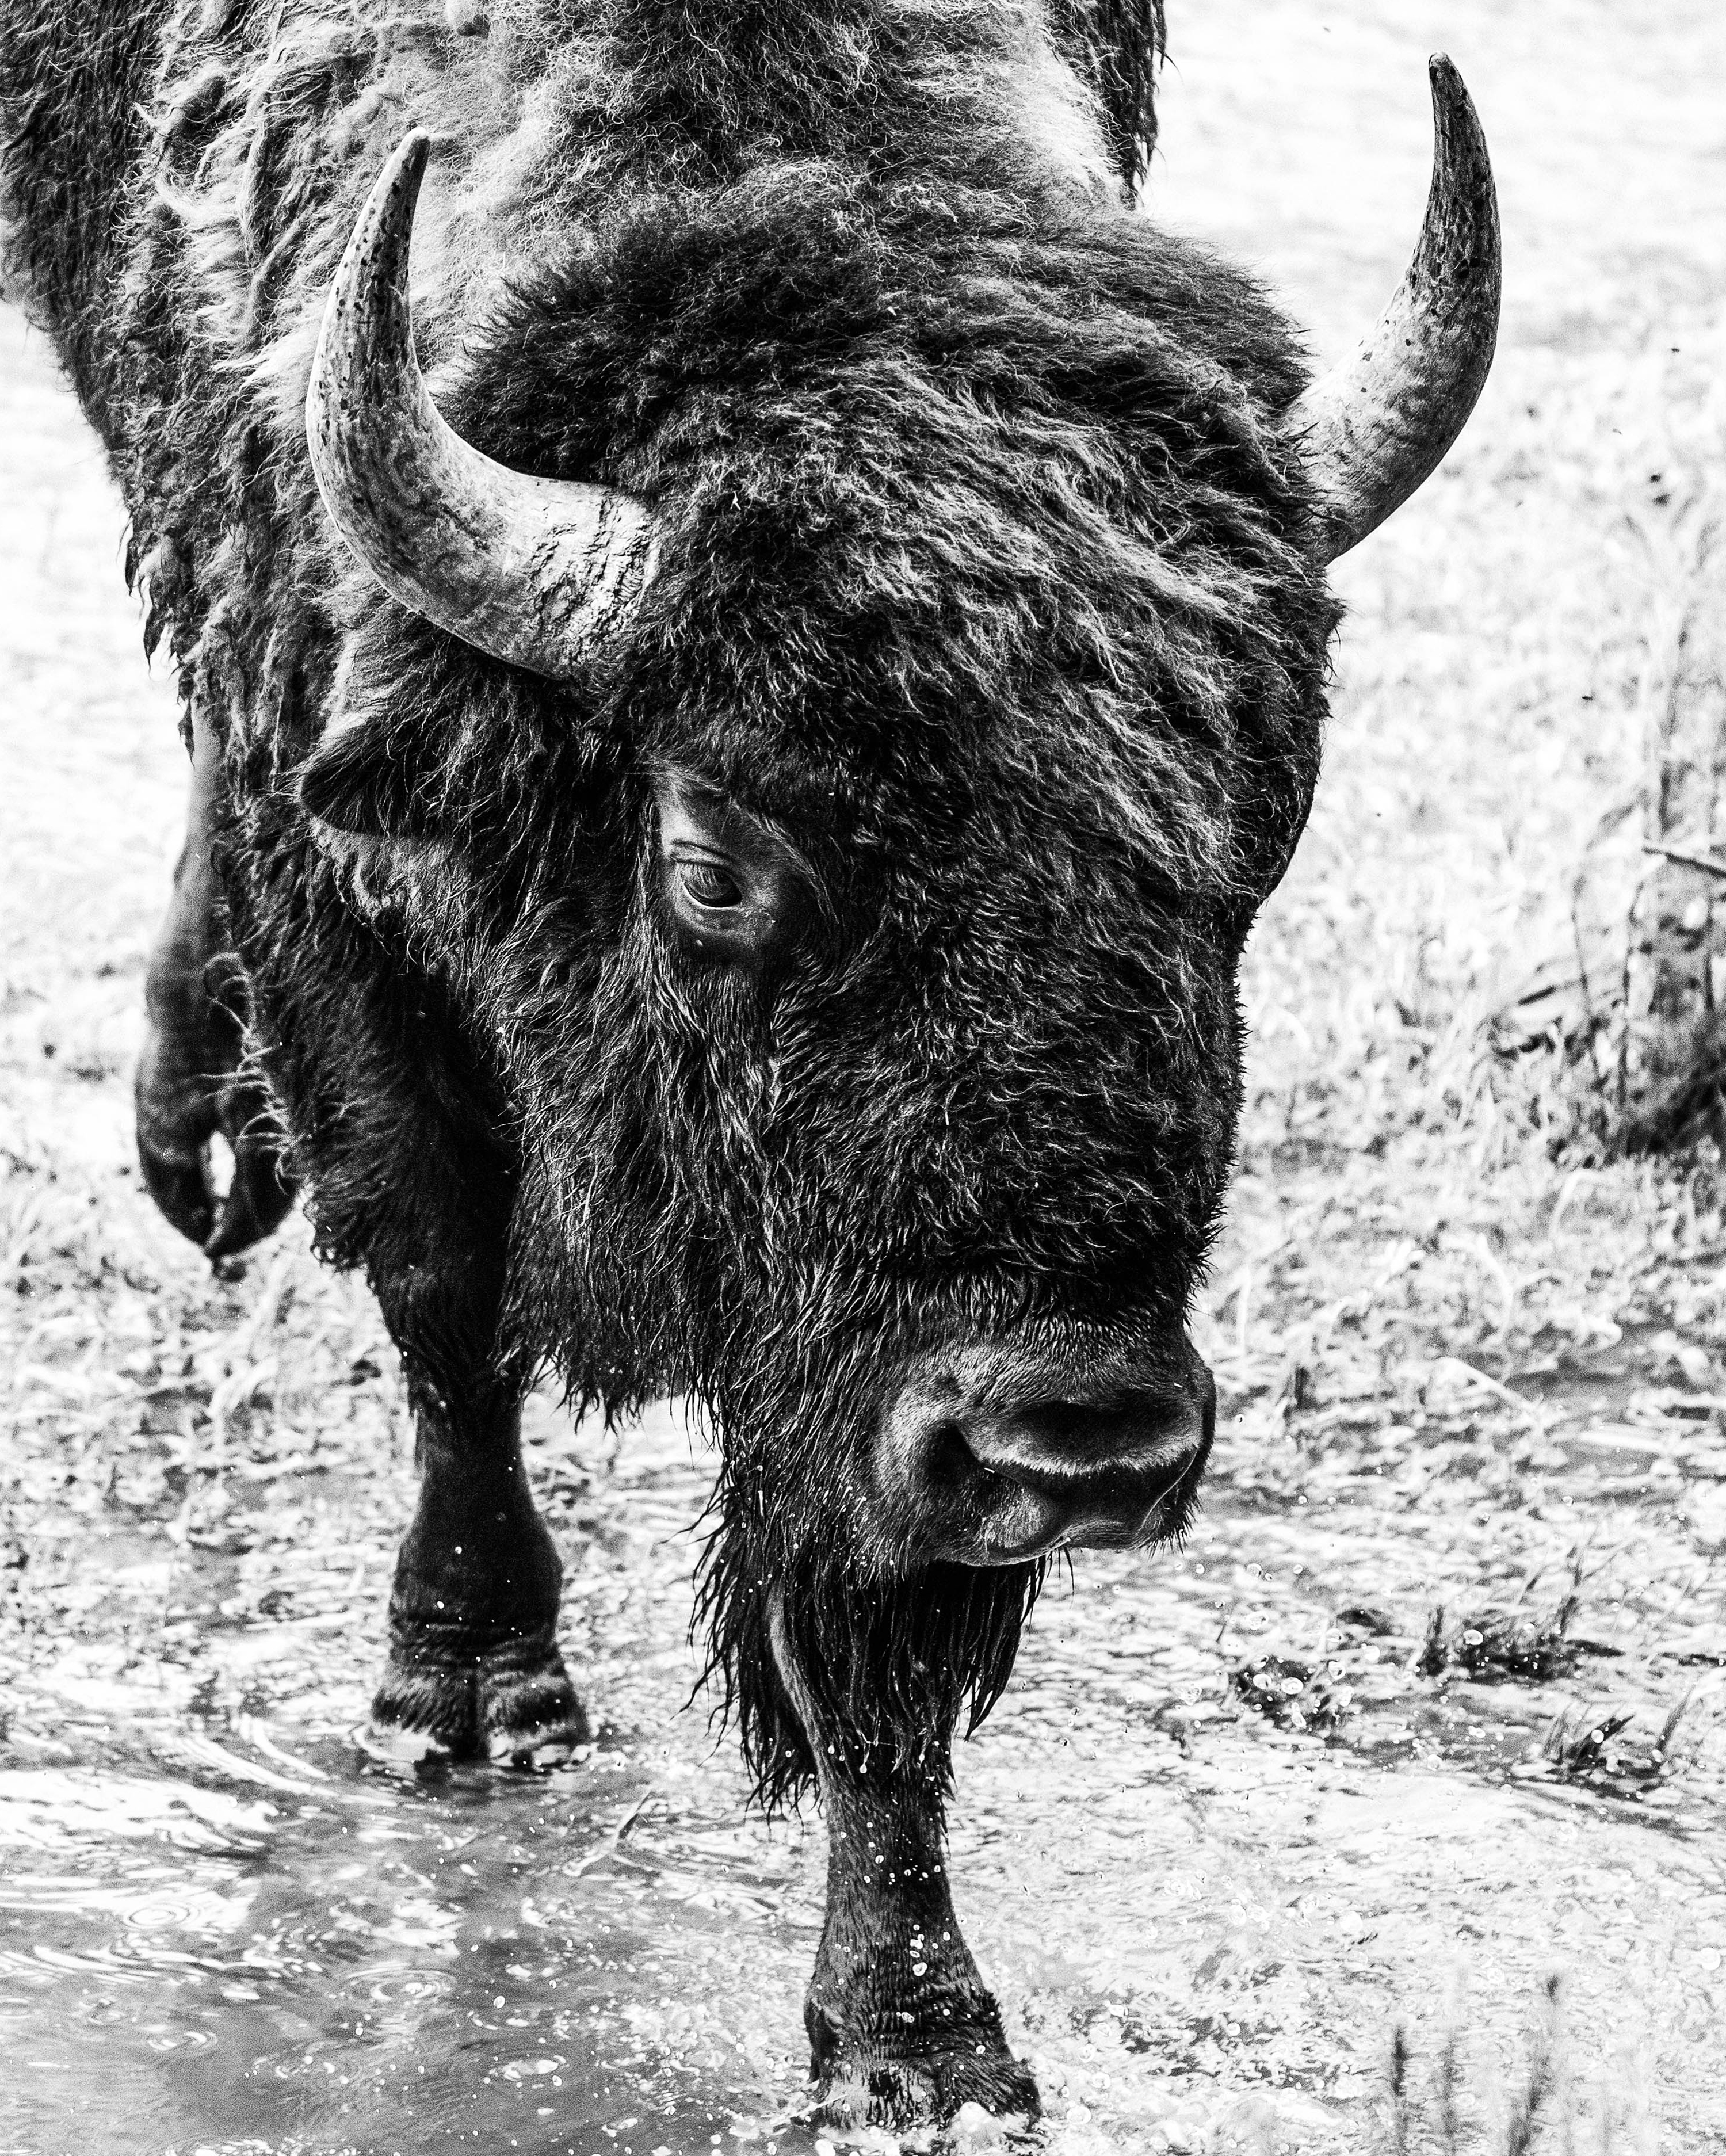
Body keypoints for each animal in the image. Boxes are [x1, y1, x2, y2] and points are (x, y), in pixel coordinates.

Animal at [0, 0, 1497, 2126]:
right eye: (713, 859)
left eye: (1261, 827)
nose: (1081, 1442)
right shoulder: (347, 912)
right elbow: (449, 1304)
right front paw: (470, 1699)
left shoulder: (870, 1384)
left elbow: (875, 1628)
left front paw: (921, 2044)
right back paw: (204, 1136)